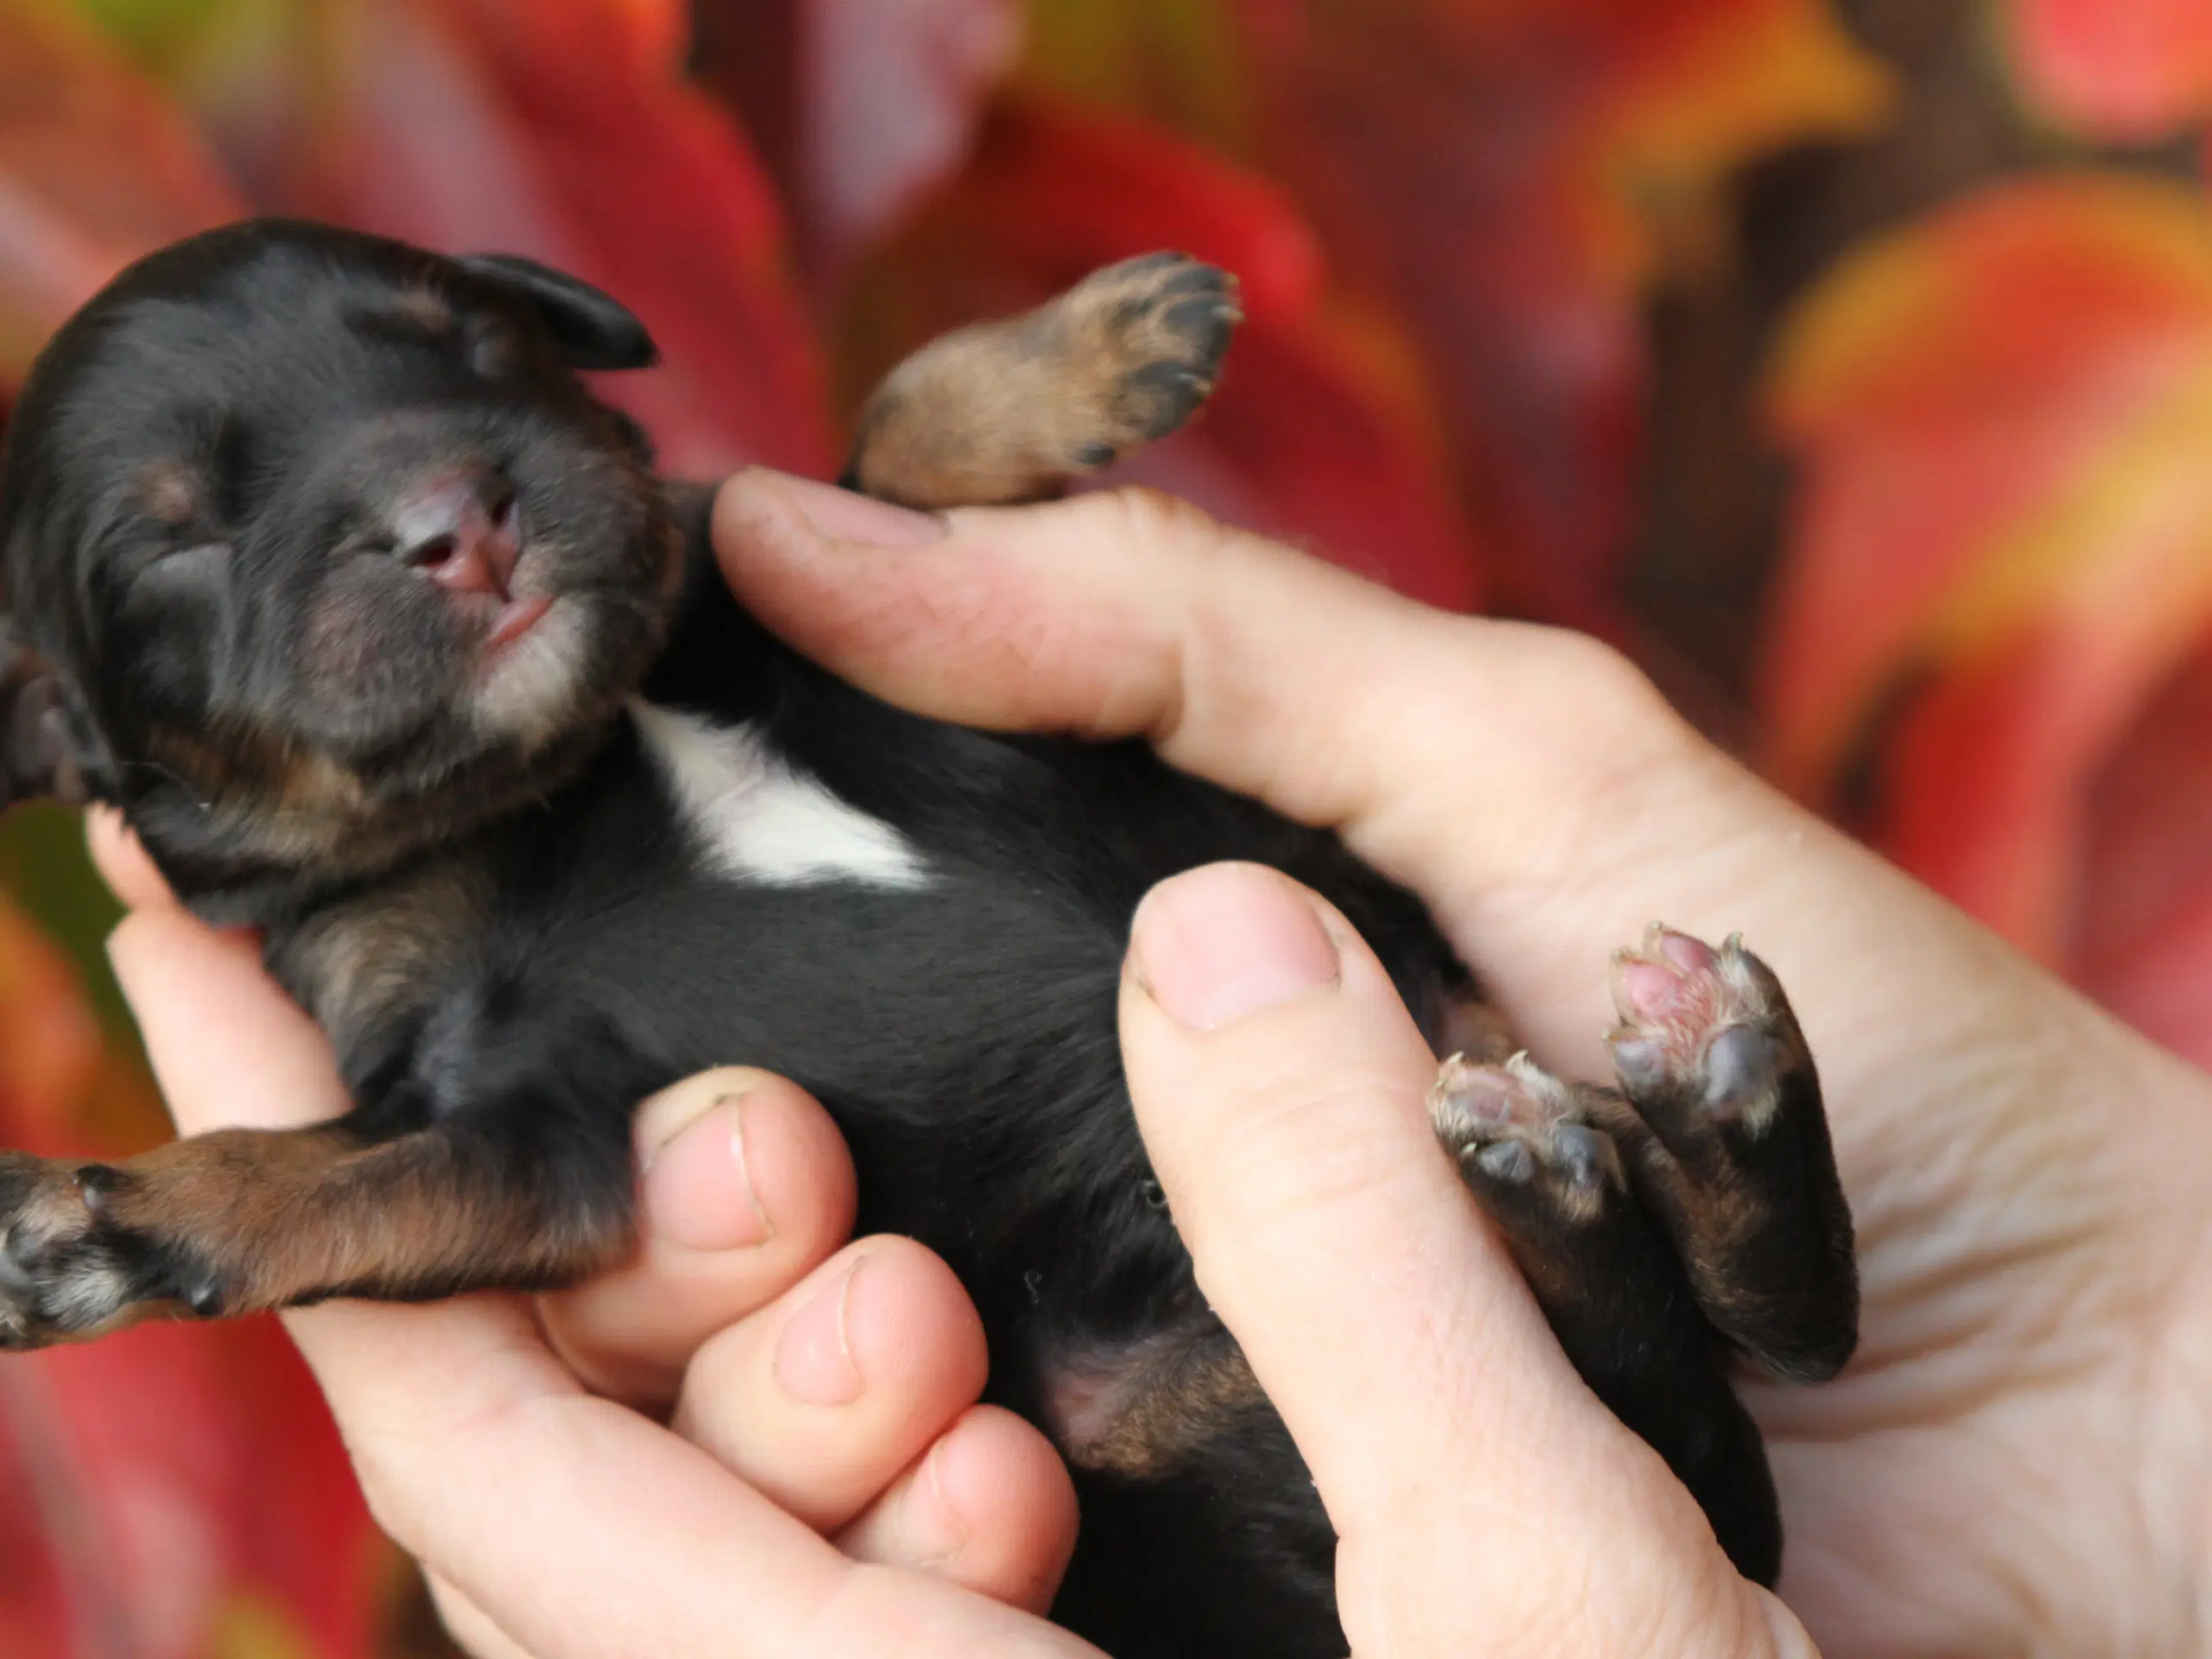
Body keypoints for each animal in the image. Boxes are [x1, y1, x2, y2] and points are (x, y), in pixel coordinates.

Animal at [0, 224, 1858, 1659]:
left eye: (474, 336)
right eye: (176, 537)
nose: (457, 509)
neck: (583, 756)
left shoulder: (824, 603)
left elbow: (847, 479)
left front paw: (1100, 345)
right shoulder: (529, 1127)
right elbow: (345, 1170)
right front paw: (102, 1218)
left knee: (1779, 1339)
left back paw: (1704, 1088)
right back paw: (1590, 1150)